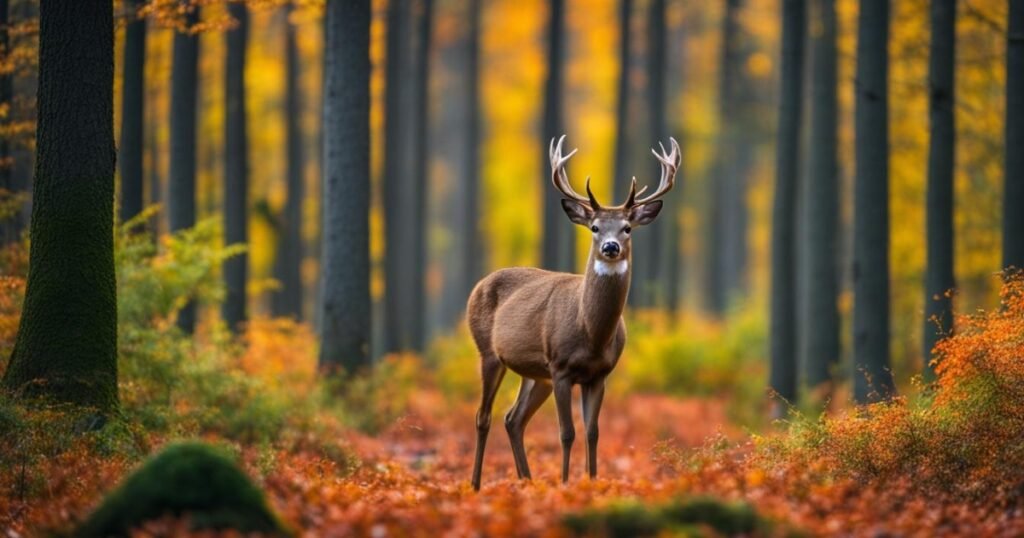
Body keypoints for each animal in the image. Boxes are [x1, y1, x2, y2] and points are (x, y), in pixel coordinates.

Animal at [467, 135, 679, 491]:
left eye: (627, 228)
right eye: (594, 227)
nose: (610, 247)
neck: (591, 333)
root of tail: (478, 285)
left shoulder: (599, 373)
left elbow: (593, 432)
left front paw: (592, 482)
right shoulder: (561, 367)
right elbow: (567, 433)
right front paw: (566, 484)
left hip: (535, 373)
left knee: (513, 419)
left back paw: (527, 481)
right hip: (490, 353)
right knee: (483, 416)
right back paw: (475, 485)